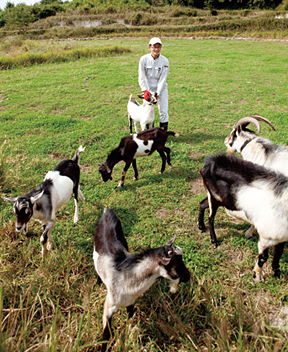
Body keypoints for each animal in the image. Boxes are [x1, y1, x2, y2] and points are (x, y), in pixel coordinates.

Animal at [93, 208, 190, 350]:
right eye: (176, 265)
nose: (188, 276)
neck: (126, 278)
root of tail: (107, 211)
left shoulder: (131, 301)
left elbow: (130, 317)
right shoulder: (109, 306)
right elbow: (106, 334)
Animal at [200, 153, 288, 282]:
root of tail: (210, 162)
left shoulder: (280, 237)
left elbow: (278, 254)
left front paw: (277, 274)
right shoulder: (266, 237)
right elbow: (263, 257)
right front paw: (257, 277)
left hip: (220, 200)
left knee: (202, 204)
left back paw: (201, 227)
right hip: (214, 198)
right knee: (211, 217)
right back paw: (214, 241)